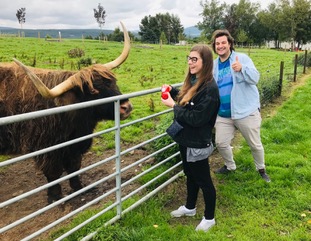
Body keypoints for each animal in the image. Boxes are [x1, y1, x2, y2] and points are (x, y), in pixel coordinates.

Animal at [0, 22, 133, 203]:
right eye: (93, 91)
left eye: (112, 81)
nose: (126, 107)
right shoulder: (46, 149)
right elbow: (53, 174)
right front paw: (55, 196)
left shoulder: (74, 146)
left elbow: (74, 168)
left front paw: (79, 188)